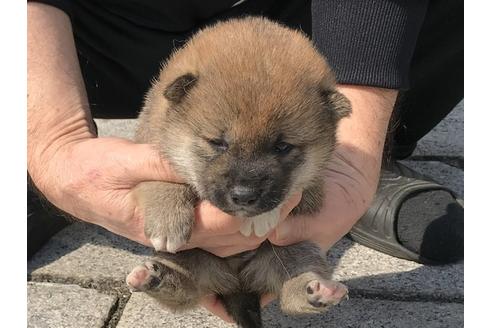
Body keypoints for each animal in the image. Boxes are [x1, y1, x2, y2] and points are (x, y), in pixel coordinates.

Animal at [125, 16, 352, 326]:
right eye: (217, 142)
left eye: (282, 147)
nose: (244, 195)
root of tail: (238, 283)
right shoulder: (147, 148)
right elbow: (161, 181)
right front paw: (167, 222)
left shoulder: (313, 189)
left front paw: (261, 218)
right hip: (192, 258)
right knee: (184, 289)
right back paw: (152, 277)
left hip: (295, 249)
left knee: (292, 290)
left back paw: (318, 291)